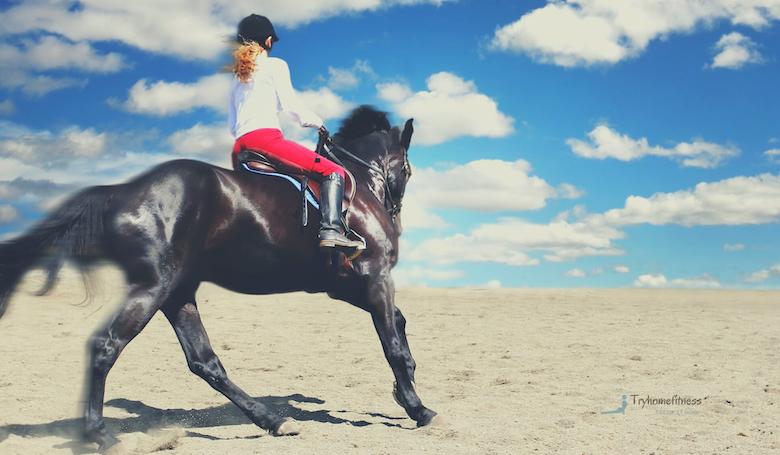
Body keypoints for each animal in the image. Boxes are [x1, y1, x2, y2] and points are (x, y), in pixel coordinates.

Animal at [0, 106, 438, 452]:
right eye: (408, 168)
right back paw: (102, 436)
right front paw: (418, 408)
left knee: (204, 361)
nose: (396, 214)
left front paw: (404, 392)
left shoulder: (345, 285)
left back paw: (273, 420)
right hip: (154, 287)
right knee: (106, 346)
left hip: (177, 291)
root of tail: (121, 191)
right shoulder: (373, 277)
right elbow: (391, 343)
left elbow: (398, 324)